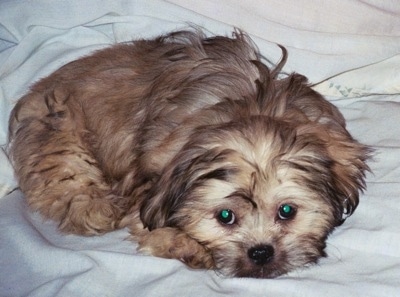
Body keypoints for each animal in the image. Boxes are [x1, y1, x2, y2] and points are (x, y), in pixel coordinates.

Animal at [7, 29, 370, 278]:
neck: (253, 107)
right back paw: (99, 208)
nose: (261, 253)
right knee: (70, 190)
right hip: (61, 134)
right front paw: (187, 245)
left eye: (286, 211)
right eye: (225, 216)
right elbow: (147, 225)